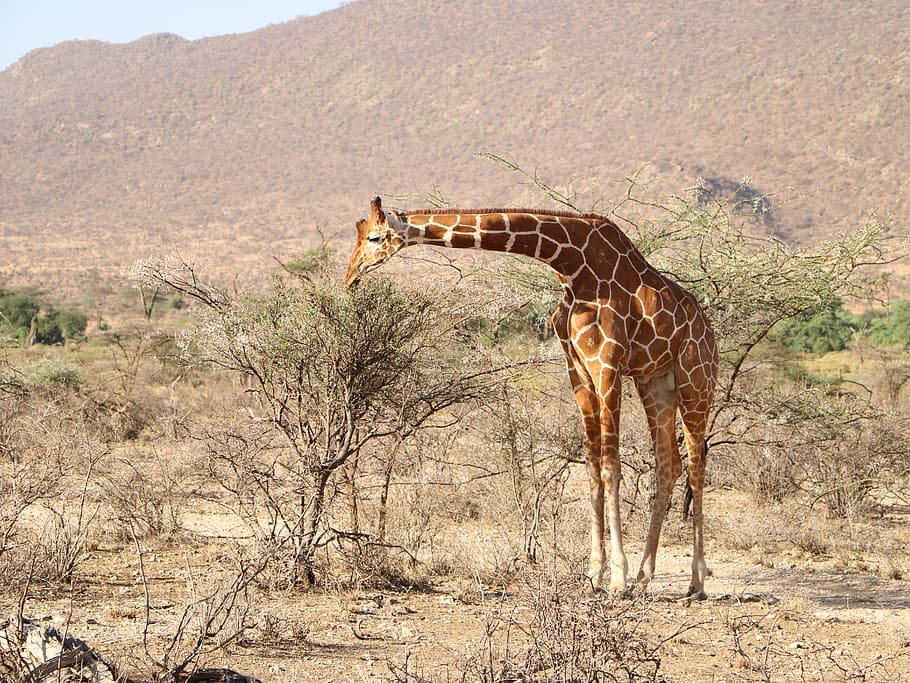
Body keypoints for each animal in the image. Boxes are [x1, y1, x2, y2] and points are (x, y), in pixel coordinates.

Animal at [348, 195, 720, 596]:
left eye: (373, 237)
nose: (350, 277)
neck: (571, 266)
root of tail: (710, 331)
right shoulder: (578, 369)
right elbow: (591, 467)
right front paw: (594, 572)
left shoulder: (606, 365)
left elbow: (611, 467)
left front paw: (616, 576)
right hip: (656, 382)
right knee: (669, 464)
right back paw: (645, 575)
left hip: (696, 379)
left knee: (696, 464)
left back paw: (695, 581)